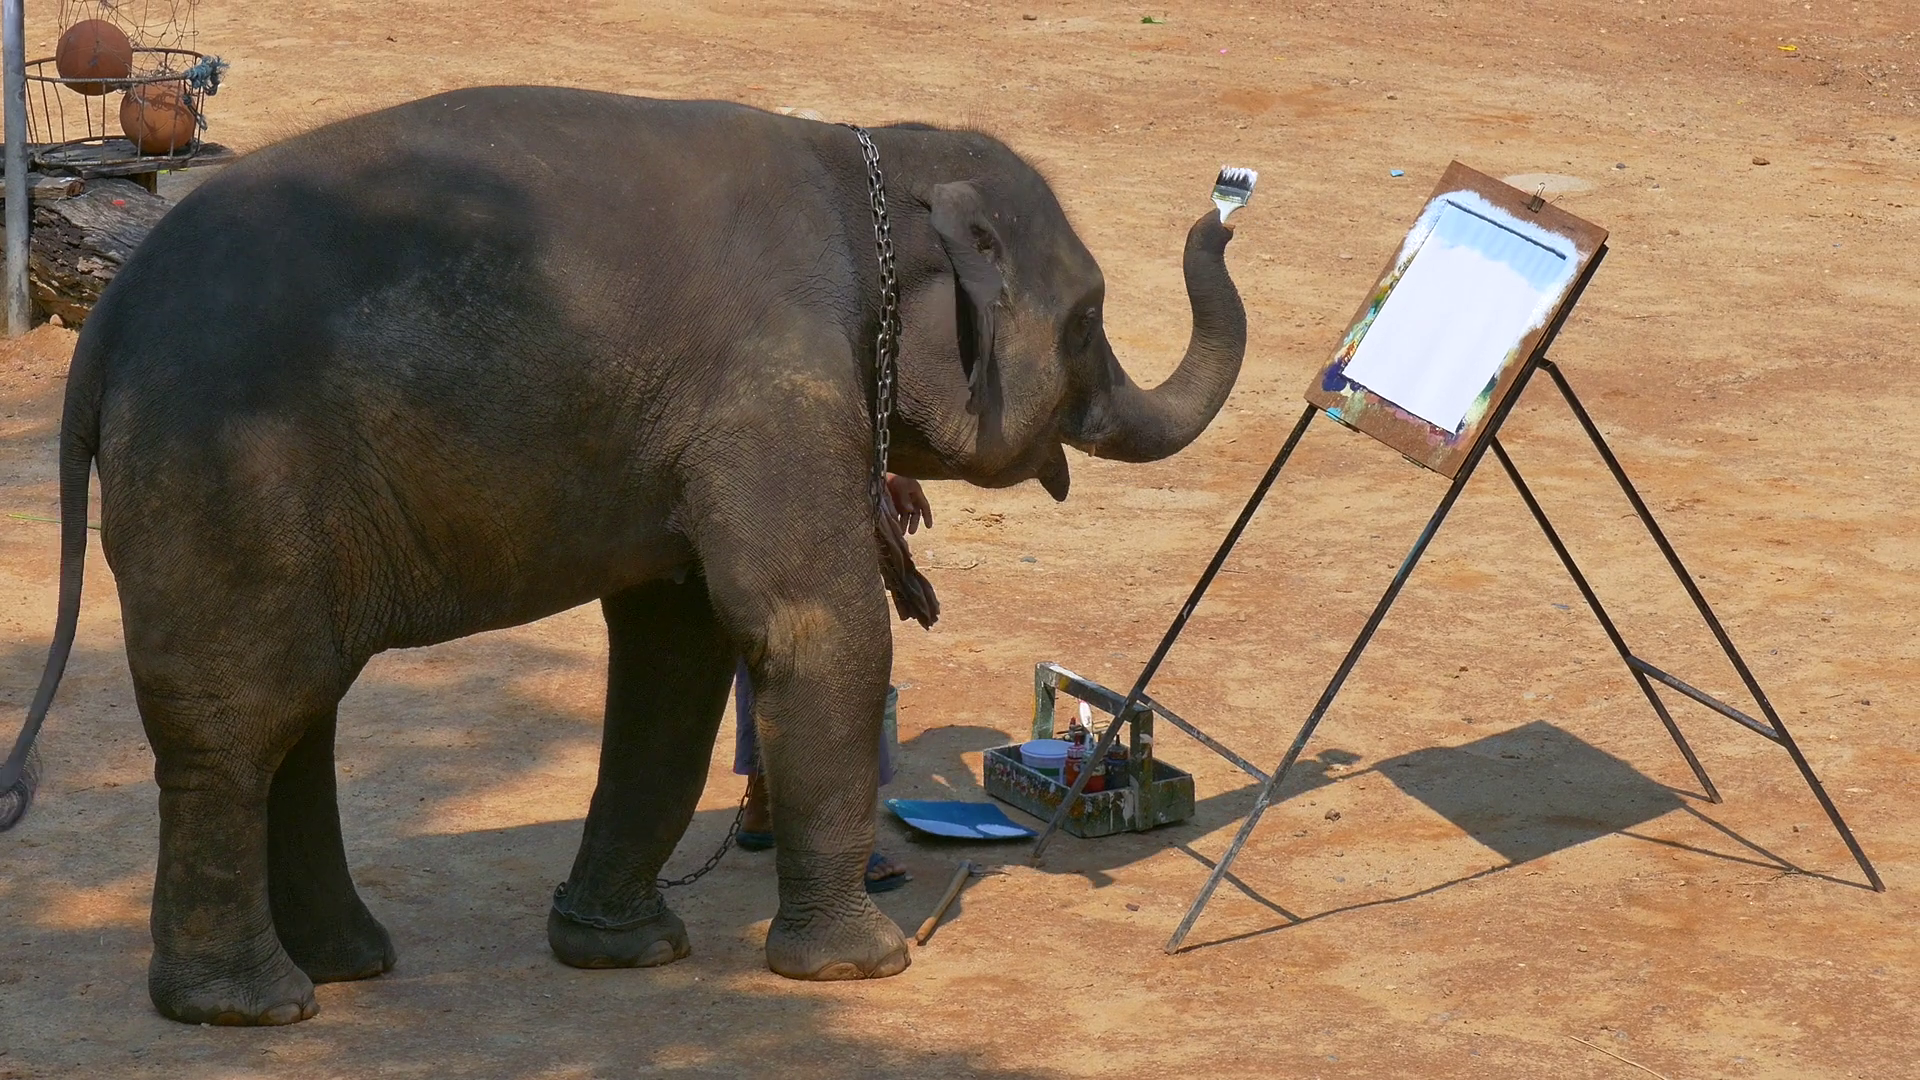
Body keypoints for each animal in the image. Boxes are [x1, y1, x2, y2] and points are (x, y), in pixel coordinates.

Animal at [0, 85, 1247, 1025]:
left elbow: (678, 647)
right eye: (1086, 321)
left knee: (298, 708)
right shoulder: (774, 377)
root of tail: (109, 324)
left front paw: (631, 952)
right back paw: (252, 1008)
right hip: (225, 474)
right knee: (238, 720)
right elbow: (810, 622)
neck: (872, 157)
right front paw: (864, 967)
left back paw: (348, 964)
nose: (1226, 205)